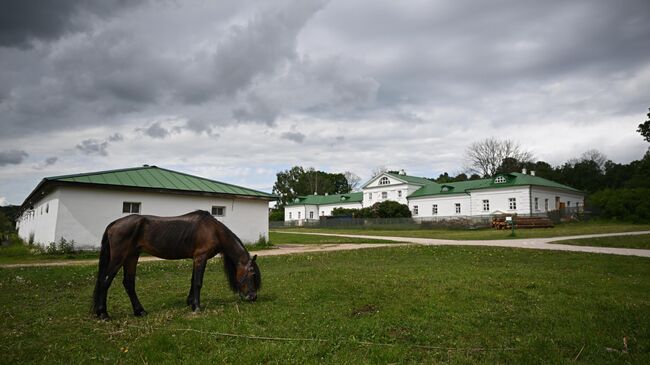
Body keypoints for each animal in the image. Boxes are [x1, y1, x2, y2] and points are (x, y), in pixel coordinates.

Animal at [90, 210, 260, 318]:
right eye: (252, 273)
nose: (253, 297)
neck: (213, 230)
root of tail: (114, 224)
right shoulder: (201, 257)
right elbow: (198, 282)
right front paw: (197, 307)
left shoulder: (196, 259)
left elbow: (192, 281)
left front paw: (190, 303)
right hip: (119, 258)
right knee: (105, 281)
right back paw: (103, 313)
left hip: (132, 256)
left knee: (129, 283)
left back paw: (140, 311)